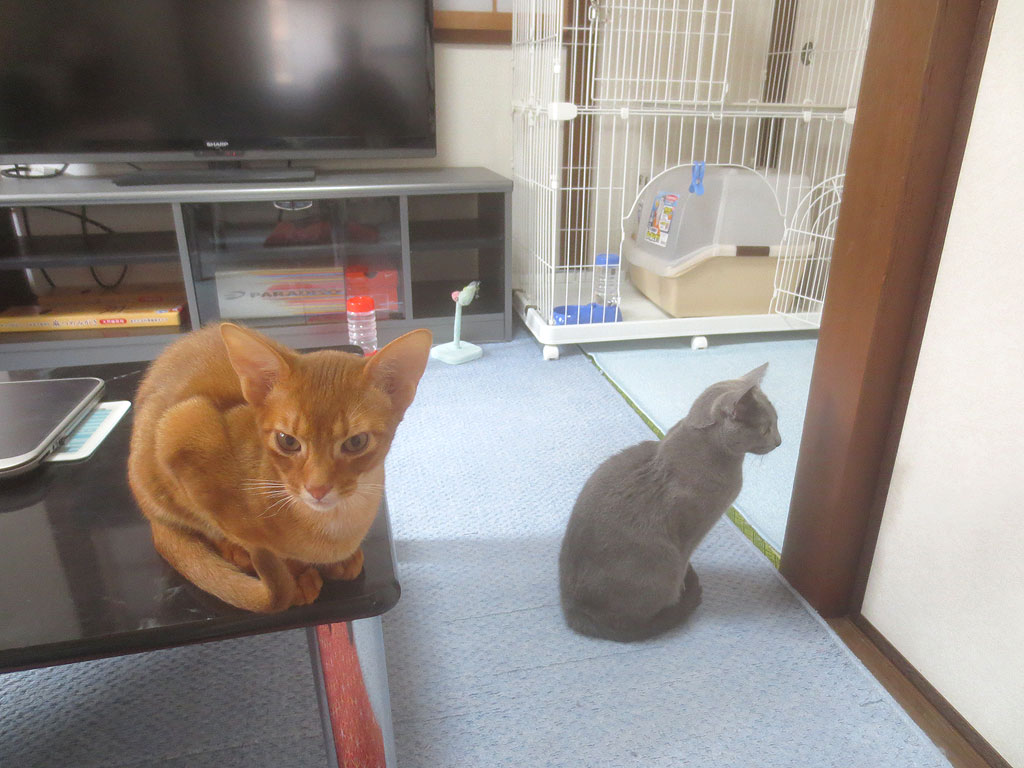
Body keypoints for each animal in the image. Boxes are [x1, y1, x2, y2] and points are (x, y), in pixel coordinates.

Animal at [128, 322, 431, 613]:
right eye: (287, 441)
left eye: (356, 442)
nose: (317, 488)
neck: (336, 526)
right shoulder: (183, 430)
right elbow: (229, 530)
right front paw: (295, 575)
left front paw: (337, 562)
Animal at [558, 363, 781, 642]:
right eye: (765, 429)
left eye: (777, 423)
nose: (780, 441)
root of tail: (575, 610)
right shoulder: (689, 534)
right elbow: (685, 560)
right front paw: (683, 588)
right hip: (664, 560)